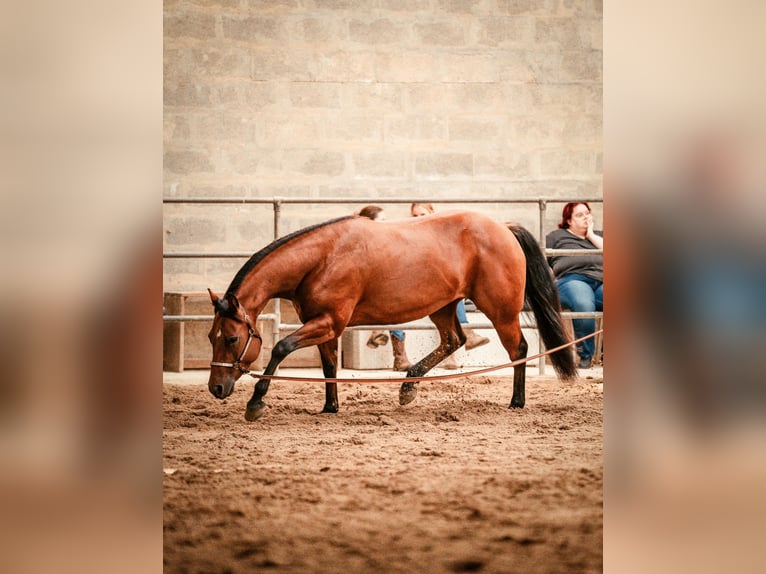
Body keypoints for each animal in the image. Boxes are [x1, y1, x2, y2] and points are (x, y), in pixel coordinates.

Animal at [207, 211, 577, 421]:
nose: (216, 387)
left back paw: (516, 401)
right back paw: (408, 386)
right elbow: (328, 366)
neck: (322, 258)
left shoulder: (328, 321)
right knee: (453, 340)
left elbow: (282, 348)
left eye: (233, 338)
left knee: (519, 350)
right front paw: (330, 407)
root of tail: (503, 227)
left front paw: (256, 402)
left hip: (501, 312)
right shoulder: (326, 324)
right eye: (211, 337)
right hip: (442, 306)